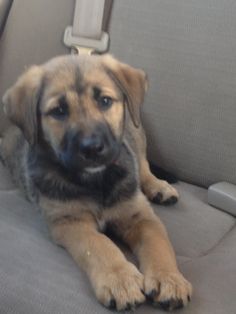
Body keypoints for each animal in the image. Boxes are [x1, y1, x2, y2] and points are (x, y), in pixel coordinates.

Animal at [0, 54, 192, 312]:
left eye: (105, 101)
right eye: (58, 111)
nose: (91, 148)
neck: (97, 180)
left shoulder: (141, 216)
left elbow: (159, 245)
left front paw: (169, 278)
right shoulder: (70, 221)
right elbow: (100, 244)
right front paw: (120, 279)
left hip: (136, 131)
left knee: (142, 164)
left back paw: (159, 187)